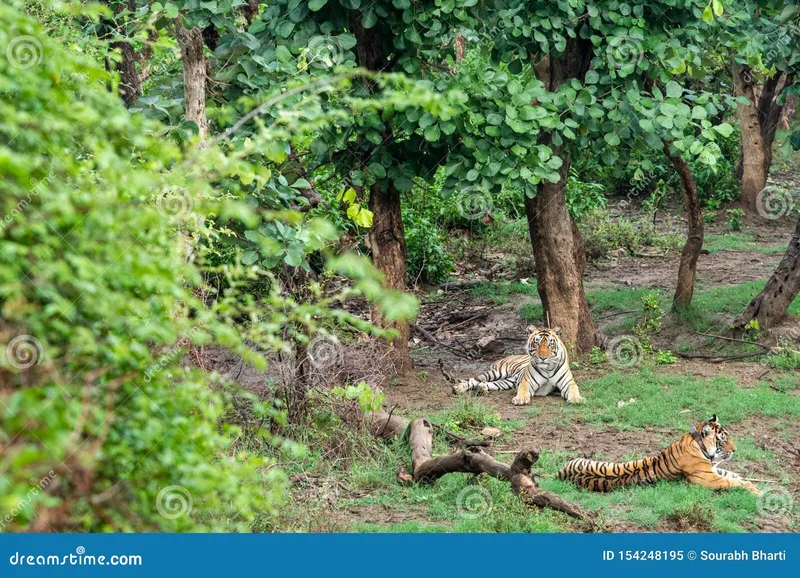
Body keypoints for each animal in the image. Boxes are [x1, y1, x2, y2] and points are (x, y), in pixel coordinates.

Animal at [454, 324, 584, 404]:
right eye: (536, 343)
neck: (548, 368)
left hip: (507, 382)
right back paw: (459, 388)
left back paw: (482, 389)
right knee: (474, 379)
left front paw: (577, 399)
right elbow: (523, 389)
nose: (542, 358)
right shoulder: (527, 381)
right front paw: (520, 399)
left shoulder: (568, 382)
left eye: (550, 344)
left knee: (486, 383)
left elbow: (574, 389)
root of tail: (507, 356)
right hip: (496, 372)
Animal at [556, 414, 764, 496]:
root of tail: (560, 473)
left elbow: (733, 475)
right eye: (723, 440)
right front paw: (756, 490)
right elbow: (732, 482)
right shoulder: (707, 478)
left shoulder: (712, 470)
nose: (735, 450)